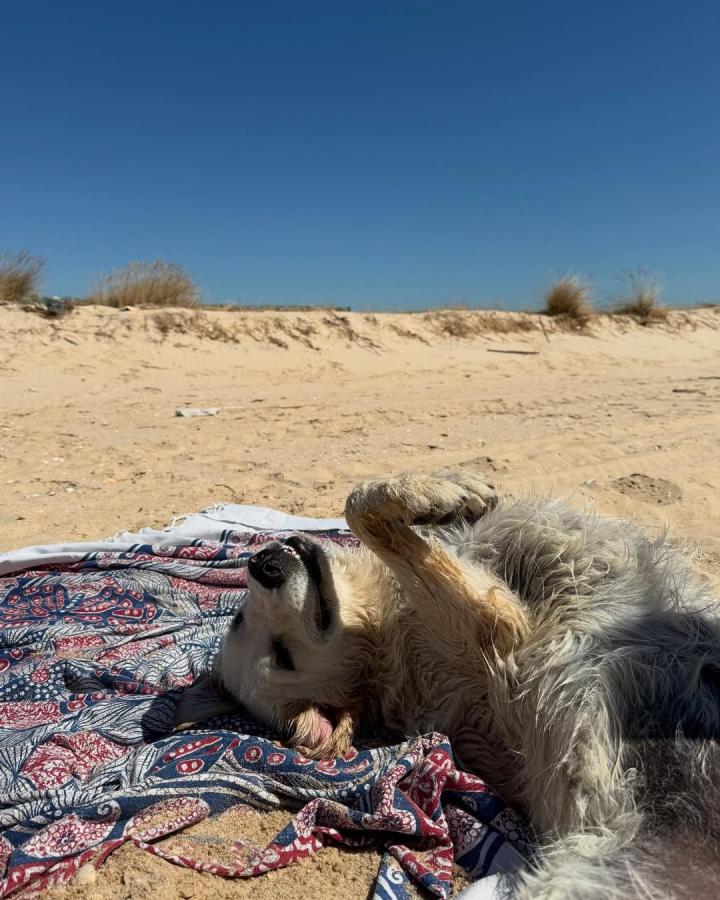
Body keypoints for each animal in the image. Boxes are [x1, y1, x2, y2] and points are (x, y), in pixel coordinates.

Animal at [176, 469, 720, 898]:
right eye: (283, 657)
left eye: (239, 620)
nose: (261, 564)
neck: (387, 640)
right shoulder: (500, 627)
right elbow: (361, 508)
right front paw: (443, 492)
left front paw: (444, 491)